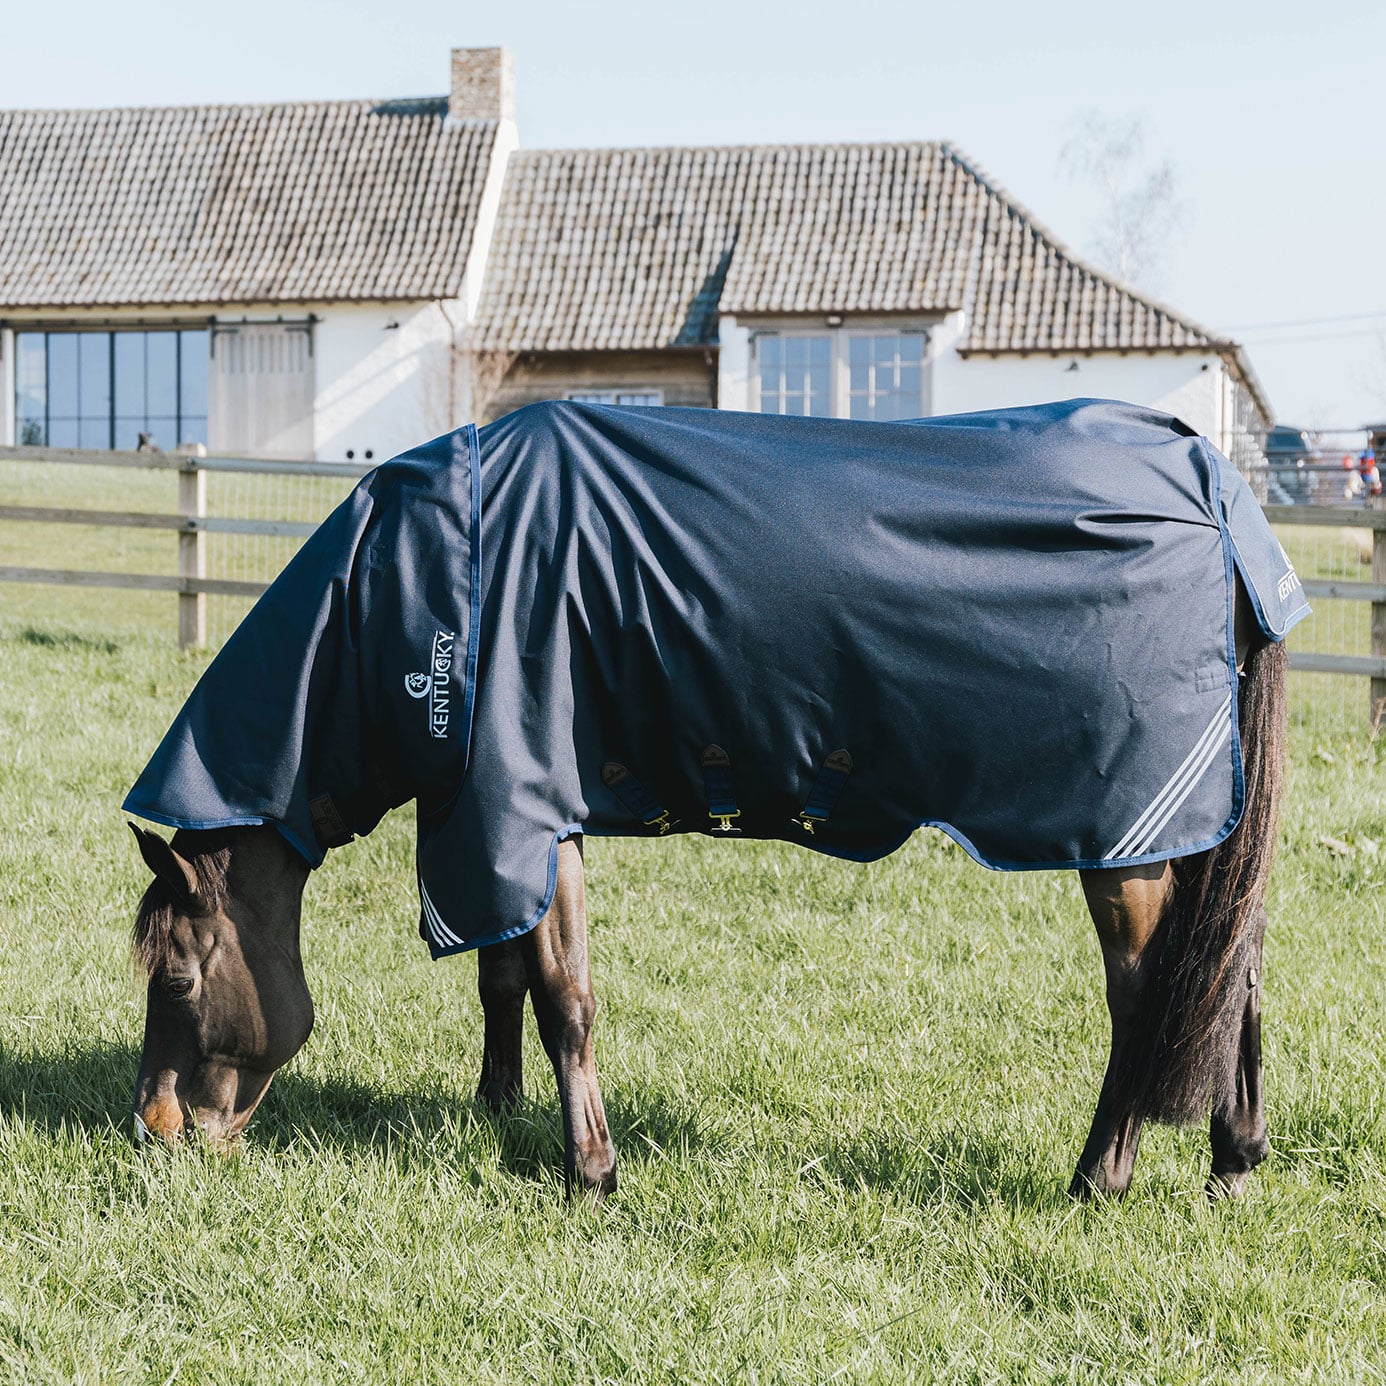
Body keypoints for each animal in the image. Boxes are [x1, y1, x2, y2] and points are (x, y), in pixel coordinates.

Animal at [124, 400, 1304, 1200]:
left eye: (177, 979)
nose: (154, 1133)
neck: (431, 586)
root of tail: (1208, 480)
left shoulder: (521, 807)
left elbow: (564, 998)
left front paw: (591, 1170)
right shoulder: (506, 817)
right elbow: (506, 980)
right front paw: (497, 1109)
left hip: (1125, 841)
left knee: (1148, 995)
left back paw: (1100, 1176)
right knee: (1230, 971)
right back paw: (1232, 1162)